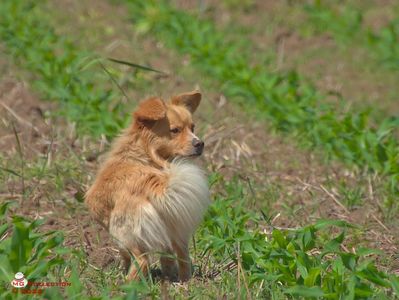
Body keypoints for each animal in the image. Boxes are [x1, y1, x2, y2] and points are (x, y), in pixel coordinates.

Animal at [84, 89, 209, 282]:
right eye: (175, 130)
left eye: (192, 127)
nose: (200, 143)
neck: (144, 153)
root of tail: (153, 182)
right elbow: (167, 258)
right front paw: (169, 276)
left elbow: (125, 256)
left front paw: (122, 270)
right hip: (176, 229)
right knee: (183, 257)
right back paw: (184, 281)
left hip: (123, 232)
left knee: (141, 260)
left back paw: (125, 284)